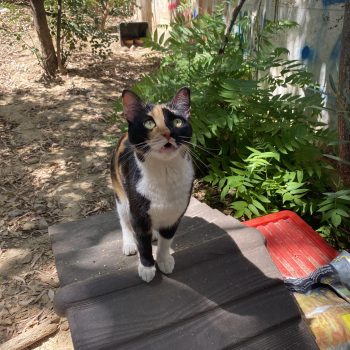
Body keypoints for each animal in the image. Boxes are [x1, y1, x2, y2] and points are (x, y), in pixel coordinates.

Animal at [110, 89, 194, 284]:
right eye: (149, 123)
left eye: (178, 122)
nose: (168, 133)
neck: (165, 173)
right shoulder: (138, 212)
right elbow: (143, 243)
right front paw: (147, 268)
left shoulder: (175, 213)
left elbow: (166, 240)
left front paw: (164, 260)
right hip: (120, 193)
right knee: (124, 220)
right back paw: (129, 243)